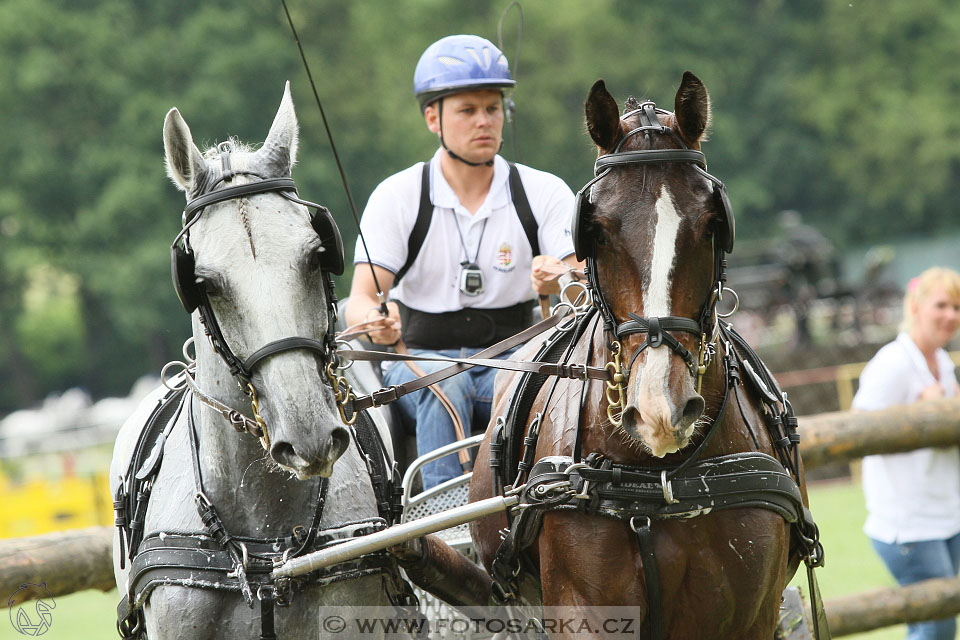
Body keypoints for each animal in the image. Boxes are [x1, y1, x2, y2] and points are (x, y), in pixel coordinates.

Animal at [466, 72, 824, 640]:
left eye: (711, 223)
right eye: (595, 229)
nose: (662, 410)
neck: (660, 481)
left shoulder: (749, 614)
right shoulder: (583, 609)